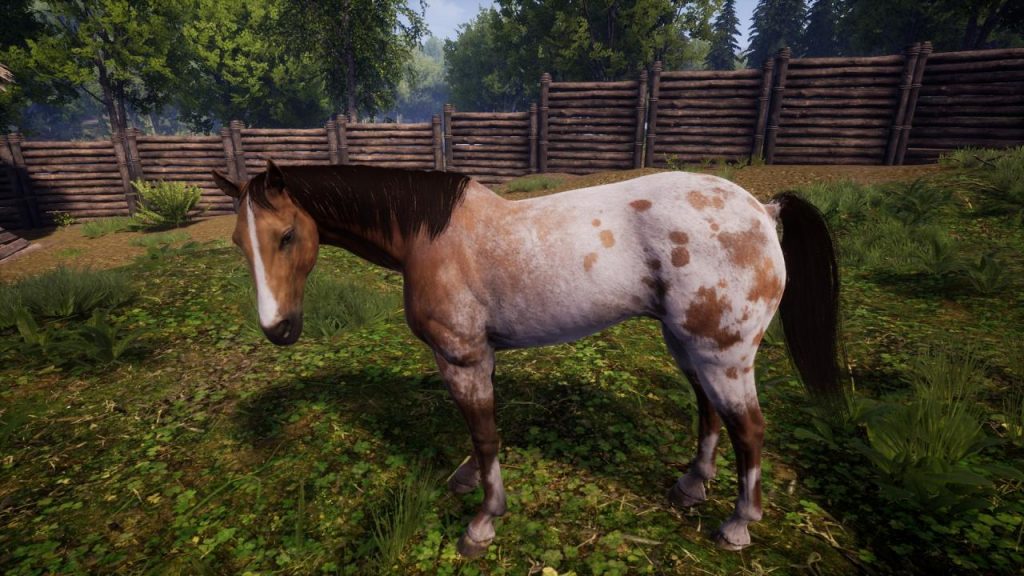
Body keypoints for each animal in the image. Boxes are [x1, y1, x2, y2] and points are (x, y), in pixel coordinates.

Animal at [212, 160, 842, 557]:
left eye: (287, 235)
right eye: (239, 243)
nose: (278, 328)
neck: (429, 239)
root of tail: (762, 209)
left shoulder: (462, 358)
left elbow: (485, 432)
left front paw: (483, 521)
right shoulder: (477, 359)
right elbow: (479, 433)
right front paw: (470, 479)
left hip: (723, 355)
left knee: (750, 429)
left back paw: (737, 525)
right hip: (687, 345)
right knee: (709, 413)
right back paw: (691, 487)